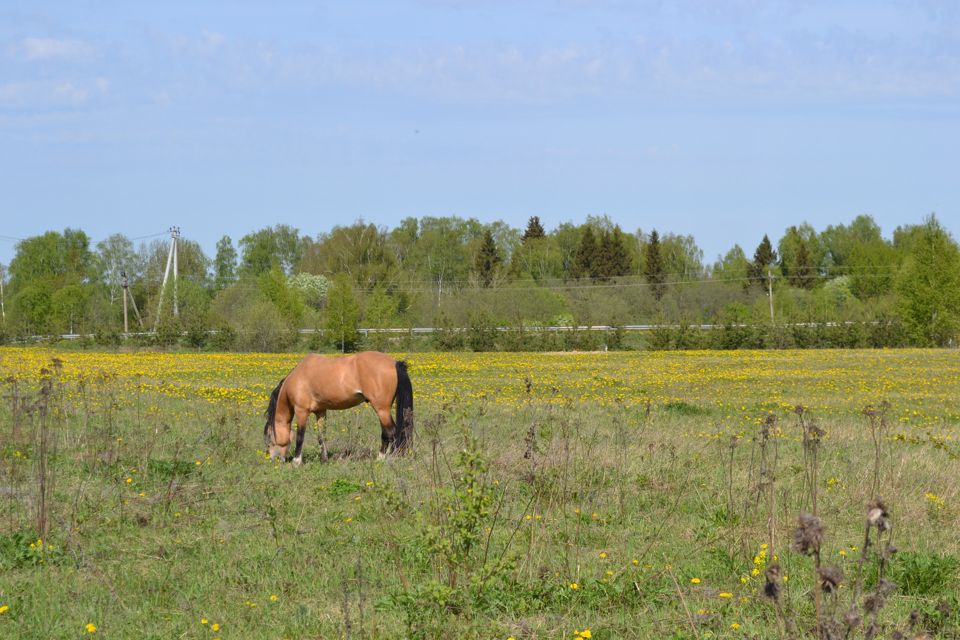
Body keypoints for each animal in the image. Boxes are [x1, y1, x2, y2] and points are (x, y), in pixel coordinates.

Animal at [262, 352, 412, 462]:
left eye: (269, 437)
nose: (273, 459)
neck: (298, 378)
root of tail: (394, 362)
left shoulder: (301, 411)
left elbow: (300, 436)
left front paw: (296, 461)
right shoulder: (320, 411)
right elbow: (321, 436)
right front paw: (324, 459)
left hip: (381, 409)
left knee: (390, 432)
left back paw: (382, 458)